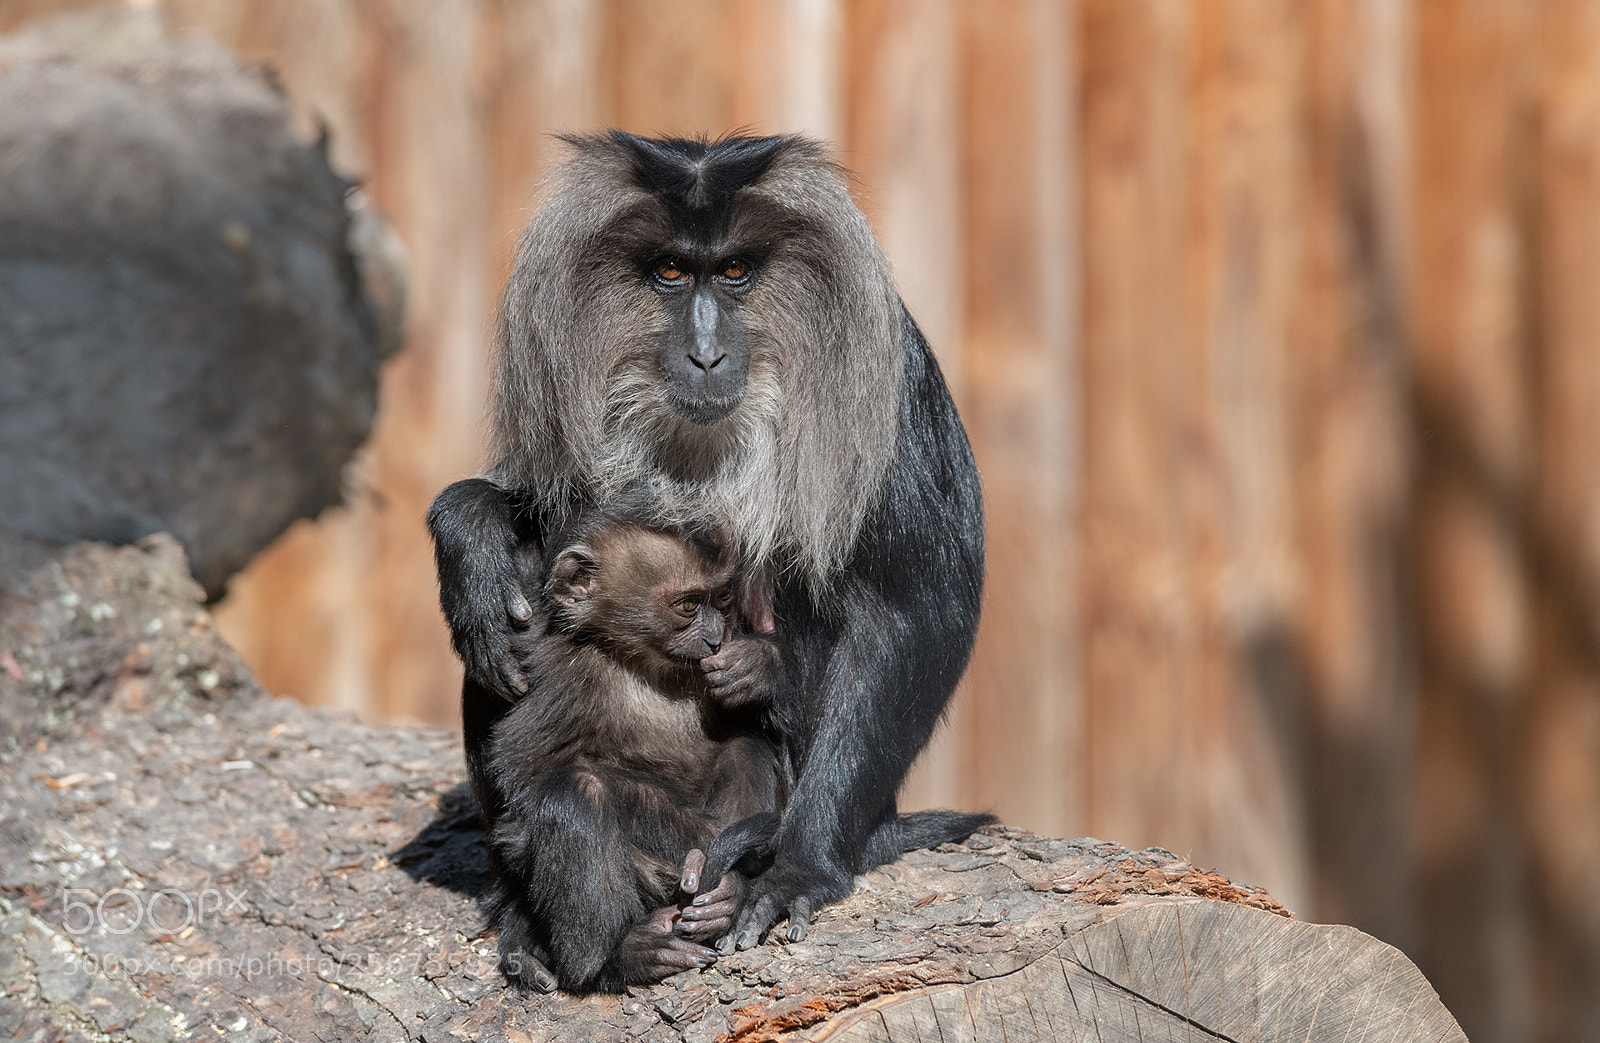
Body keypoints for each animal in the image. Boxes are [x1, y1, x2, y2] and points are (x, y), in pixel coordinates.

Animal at [483, 510, 788, 992]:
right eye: (688, 605)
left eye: (721, 599)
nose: (716, 638)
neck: (638, 661)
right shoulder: (559, 670)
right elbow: (525, 775)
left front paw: (758, 666)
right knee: (576, 791)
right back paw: (612, 957)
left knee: (745, 747)